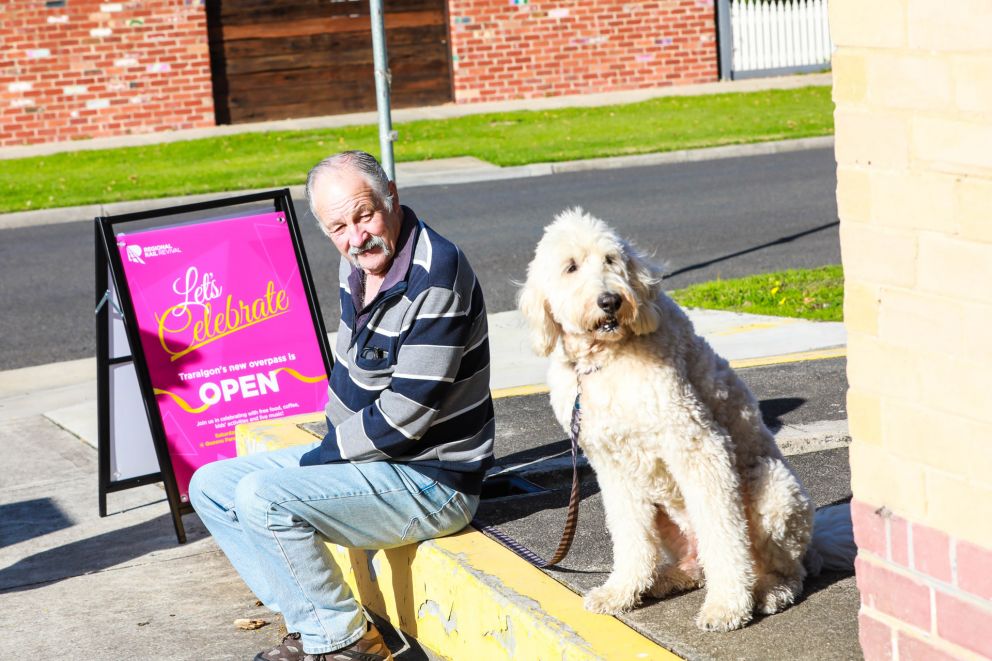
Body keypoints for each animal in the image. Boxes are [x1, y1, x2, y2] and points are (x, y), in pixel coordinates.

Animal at [520, 209, 812, 632]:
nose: (610, 301)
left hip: (773, 488)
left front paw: (727, 607)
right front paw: (620, 592)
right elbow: (629, 536)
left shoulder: (699, 444)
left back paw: (768, 591)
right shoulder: (611, 465)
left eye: (611, 260)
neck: (604, 358)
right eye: (570, 267)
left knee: (784, 568)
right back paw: (664, 579)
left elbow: (725, 534)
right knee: (696, 565)